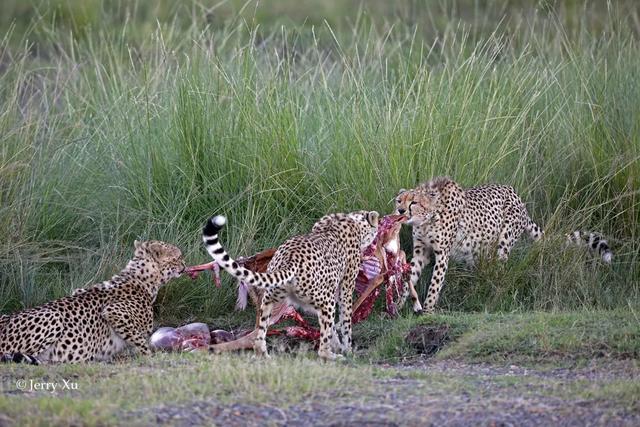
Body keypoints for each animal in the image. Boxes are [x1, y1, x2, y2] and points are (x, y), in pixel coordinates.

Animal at [0, 241, 185, 364]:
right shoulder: (113, 312)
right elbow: (141, 341)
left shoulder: (79, 291)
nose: (184, 264)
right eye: (178, 257)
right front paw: (153, 356)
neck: (142, 279)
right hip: (53, 316)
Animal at [202, 212, 378, 360]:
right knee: (322, 348)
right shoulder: (345, 288)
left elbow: (333, 327)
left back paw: (262, 355)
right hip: (325, 301)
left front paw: (338, 343)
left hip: (269, 299)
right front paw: (347, 349)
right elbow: (345, 321)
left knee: (259, 333)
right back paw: (331, 356)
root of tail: (290, 259)